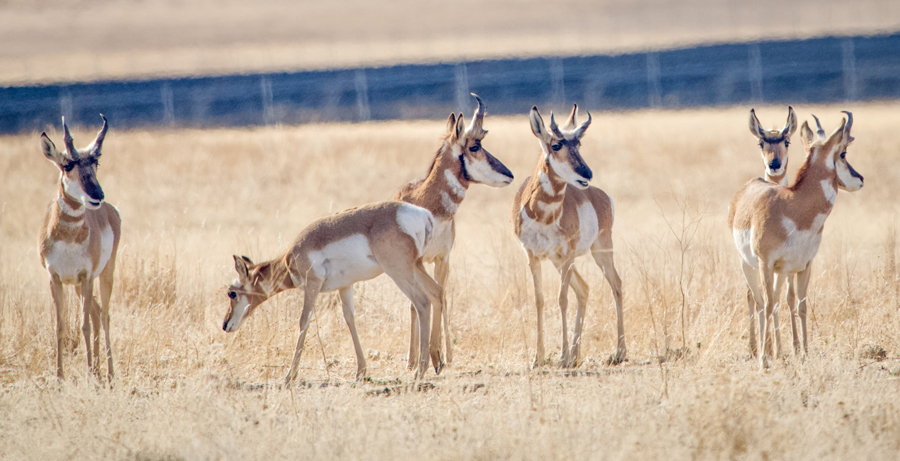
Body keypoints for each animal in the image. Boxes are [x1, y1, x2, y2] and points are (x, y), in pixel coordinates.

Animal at [38, 115, 121, 381]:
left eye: (96, 163)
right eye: (67, 165)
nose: (97, 195)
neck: (68, 239)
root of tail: (111, 211)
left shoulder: (85, 276)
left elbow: (83, 325)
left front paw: (87, 373)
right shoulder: (55, 278)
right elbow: (60, 325)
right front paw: (59, 378)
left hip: (103, 275)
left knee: (103, 315)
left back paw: (108, 374)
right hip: (76, 285)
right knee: (95, 312)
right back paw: (96, 370)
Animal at [222, 201, 444, 383]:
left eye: (231, 293)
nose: (225, 325)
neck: (290, 258)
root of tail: (422, 215)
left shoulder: (312, 286)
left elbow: (304, 321)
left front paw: (289, 376)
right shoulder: (345, 286)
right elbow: (350, 319)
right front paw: (360, 371)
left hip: (399, 272)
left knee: (422, 302)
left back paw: (420, 371)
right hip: (416, 267)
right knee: (437, 292)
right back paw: (438, 362)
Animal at [393, 93, 514, 369]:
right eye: (475, 146)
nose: (509, 174)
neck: (429, 206)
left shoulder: (443, 259)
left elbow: (442, 295)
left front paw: (441, 355)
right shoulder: (418, 261)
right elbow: (424, 299)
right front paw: (425, 357)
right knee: (415, 302)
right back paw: (412, 359)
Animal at [511, 104, 625, 368]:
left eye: (579, 143)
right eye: (556, 145)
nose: (587, 173)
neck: (542, 216)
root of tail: (601, 195)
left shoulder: (567, 253)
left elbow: (561, 299)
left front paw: (561, 356)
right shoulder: (532, 257)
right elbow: (539, 300)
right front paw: (538, 358)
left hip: (599, 252)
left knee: (616, 285)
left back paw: (618, 352)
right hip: (560, 261)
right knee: (583, 289)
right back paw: (576, 355)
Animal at [729, 111, 863, 368]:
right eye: (843, 153)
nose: (860, 179)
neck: (792, 207)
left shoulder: (803, 266)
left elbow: (800, 305)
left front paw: (803, 353)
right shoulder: (766, 264)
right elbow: (768, 305)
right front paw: (764, 360)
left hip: (780, 272)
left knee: (774, 301)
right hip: (748, 265)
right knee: (757, 301)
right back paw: (759, 351)